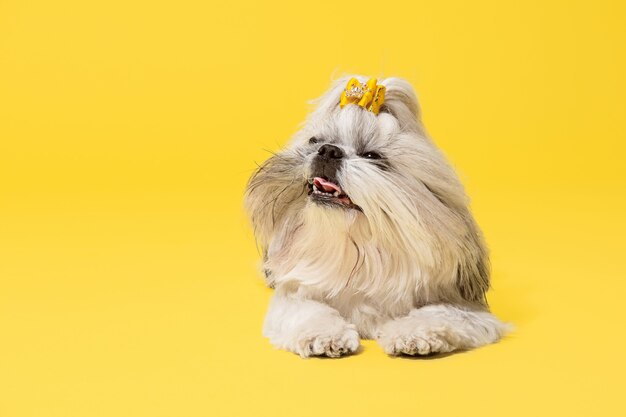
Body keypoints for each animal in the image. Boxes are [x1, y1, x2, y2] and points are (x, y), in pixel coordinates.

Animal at [244, 76, 508, 356]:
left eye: (372, 156)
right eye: (315, 141)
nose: (328, 150)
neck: (361, 256)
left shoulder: (467, 309)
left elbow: (440, 314)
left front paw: (412, 333)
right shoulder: (293, 294)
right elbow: (306, 309)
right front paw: (324, 334)